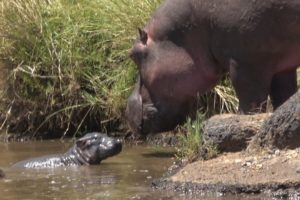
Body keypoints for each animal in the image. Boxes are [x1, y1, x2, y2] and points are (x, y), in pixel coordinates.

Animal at [125, 0, 300, 136]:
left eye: (133, 54)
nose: (127, 111)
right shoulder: (282, 67)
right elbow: (283, 96)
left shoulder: (245, 64)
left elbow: (250, 100)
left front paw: (240, 117)